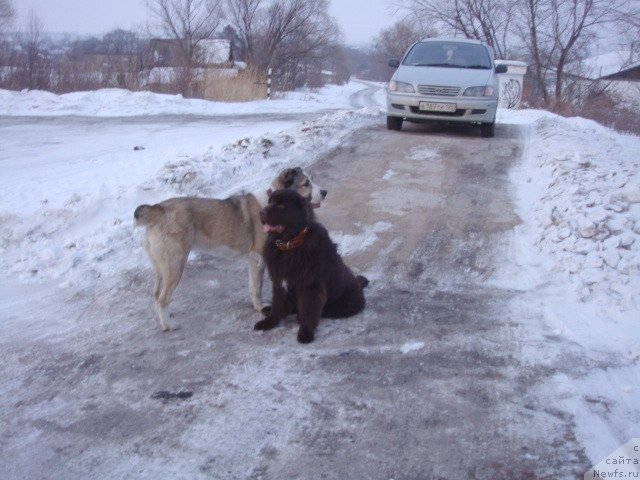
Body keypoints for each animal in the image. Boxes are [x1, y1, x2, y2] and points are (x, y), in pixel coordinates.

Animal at [134, 168, 324, 330]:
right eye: (306, 183)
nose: (324, 192)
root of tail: (157, 209)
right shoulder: (258, 257)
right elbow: (257, 287)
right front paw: (261, 308)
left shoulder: (254, 260)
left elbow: (252, 285)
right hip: (175, 264)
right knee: (162, 298)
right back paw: (169, 325)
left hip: (160, 267)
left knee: (156, 294)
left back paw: (164, 318)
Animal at [256, 189, 370, 344]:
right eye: (270, 202)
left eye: (281, 205)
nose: (261, 212)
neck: (290, 245)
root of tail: (358, 284)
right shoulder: (278, 282)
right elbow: (277, 305)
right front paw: (269, 322)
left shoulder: (310, 286)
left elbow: (308, 310)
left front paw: (305, 333)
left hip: (346, 304)